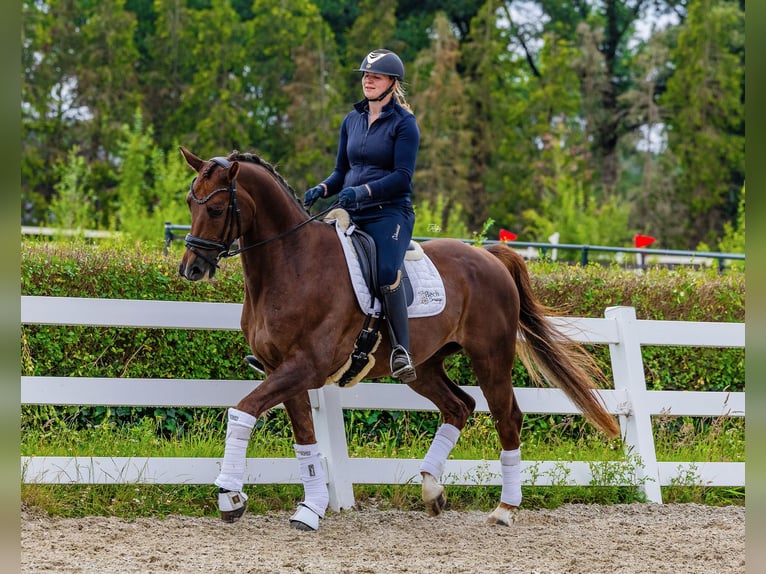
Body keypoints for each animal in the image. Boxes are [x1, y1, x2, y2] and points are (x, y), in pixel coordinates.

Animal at [177, 147, 620, 532]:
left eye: (215, 208)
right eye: (188, 203)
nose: (191, 268)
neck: (293, 264)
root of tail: (490, 257)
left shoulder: (305, 367)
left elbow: (243, 410)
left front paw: (230, 497)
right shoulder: (281, 369)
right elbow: (304, 440)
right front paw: (310, 509)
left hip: (490, 357)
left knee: (506, 416)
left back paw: (504, 510)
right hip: (424, 367)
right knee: (459, 406)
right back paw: (432, 489)